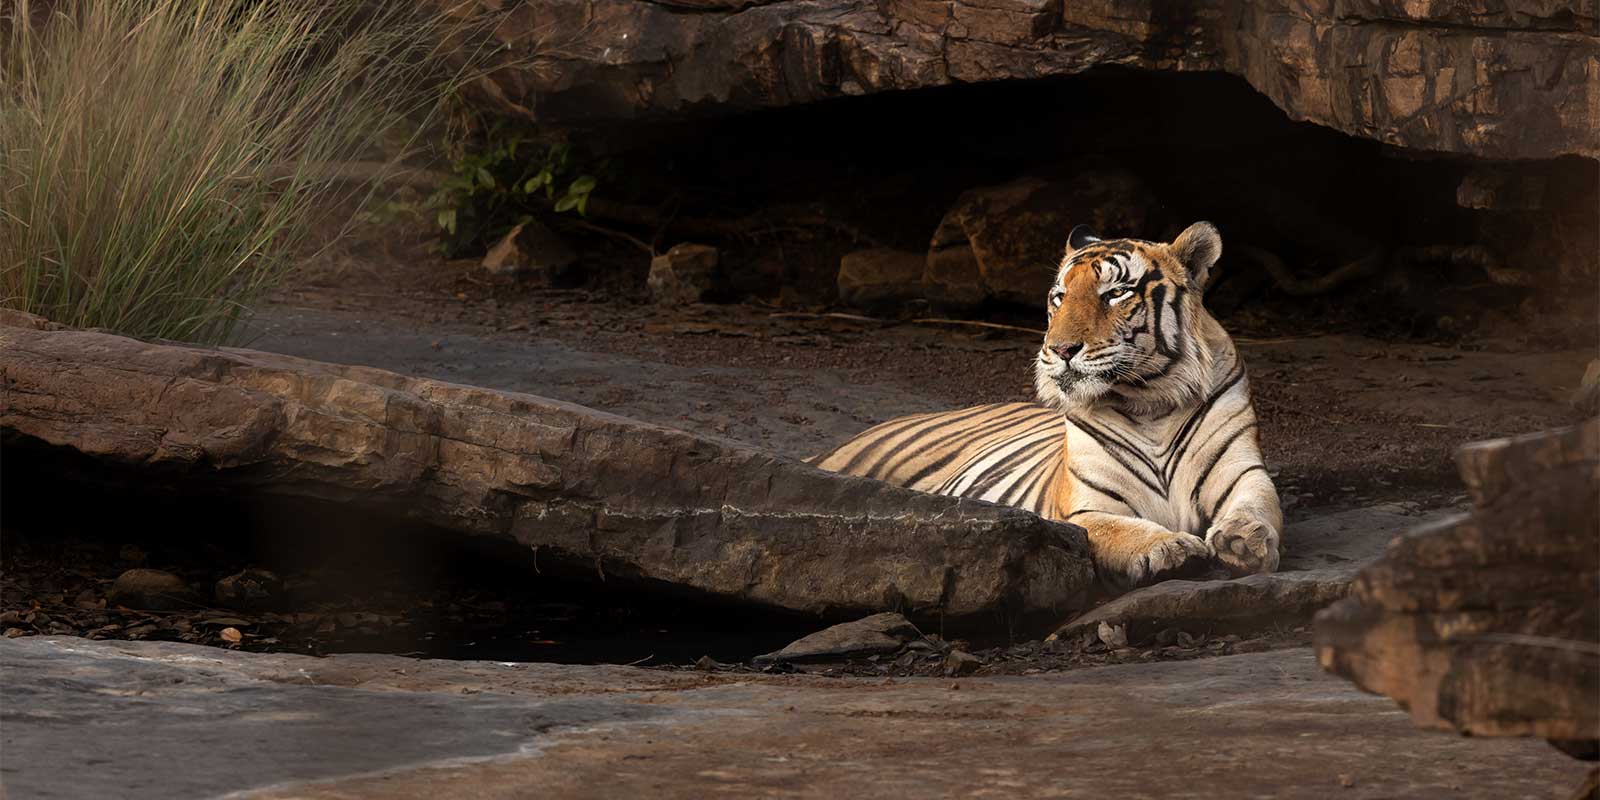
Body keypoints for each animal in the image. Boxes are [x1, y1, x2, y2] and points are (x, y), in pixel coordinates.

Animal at [812, 221, 1281, 589]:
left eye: (1115, 293)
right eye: (1059, 297)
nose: (1060, 349)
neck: (1151, 402)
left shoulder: (1242, 471)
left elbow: (1258, 503)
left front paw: (1243, 538)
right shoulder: (1085, 507)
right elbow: (1116, 529)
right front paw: (1169, 546)